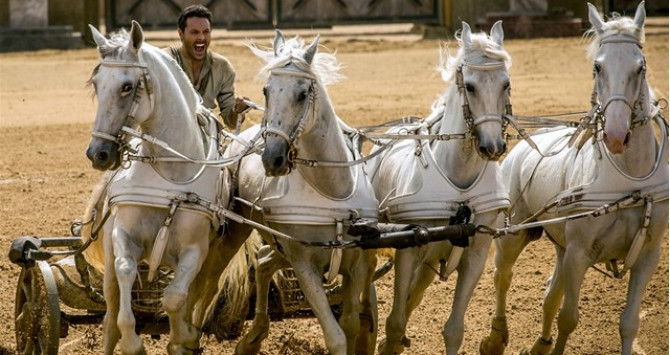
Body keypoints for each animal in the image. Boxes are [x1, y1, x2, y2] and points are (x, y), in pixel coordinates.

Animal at [84, 21, 252, 354]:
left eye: (127, 86)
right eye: (96, 83)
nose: (98, 153)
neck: (168, 175)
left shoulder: (195, 251)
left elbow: (175, 298)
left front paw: (182, 337)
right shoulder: (123, 237)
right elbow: (126, 272)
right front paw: (133, 342)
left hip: (222, 250)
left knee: (204, 286)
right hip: (107, 255)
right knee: (109, 316)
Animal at [226, 30, 380, 355]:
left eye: (301, 94)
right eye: (266, 90)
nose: (272, 158)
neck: (332, 193)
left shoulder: (357, 265)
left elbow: (350, 324)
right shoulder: (305, 267)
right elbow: (336, 336)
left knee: (263, 261)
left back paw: (254, 334)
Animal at [372, 20, 516, 354]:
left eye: (506, 83)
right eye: (471, 86)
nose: (493, 146)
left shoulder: (476, 252)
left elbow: (453, 329)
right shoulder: (408, 247)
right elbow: (395, 321)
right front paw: (388, 340)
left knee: (417, 291)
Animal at [480, 1, 668, 354]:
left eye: (640, 67)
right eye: (597, 67)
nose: (616, 135)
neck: (629, 179)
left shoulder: (648, 256)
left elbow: (628, 322)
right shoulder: (579, 253)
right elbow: (569, 317)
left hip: (560, 246)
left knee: (550, 294)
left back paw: (540, 344)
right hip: (514, 234)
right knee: (503, 277)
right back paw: (496, 337)